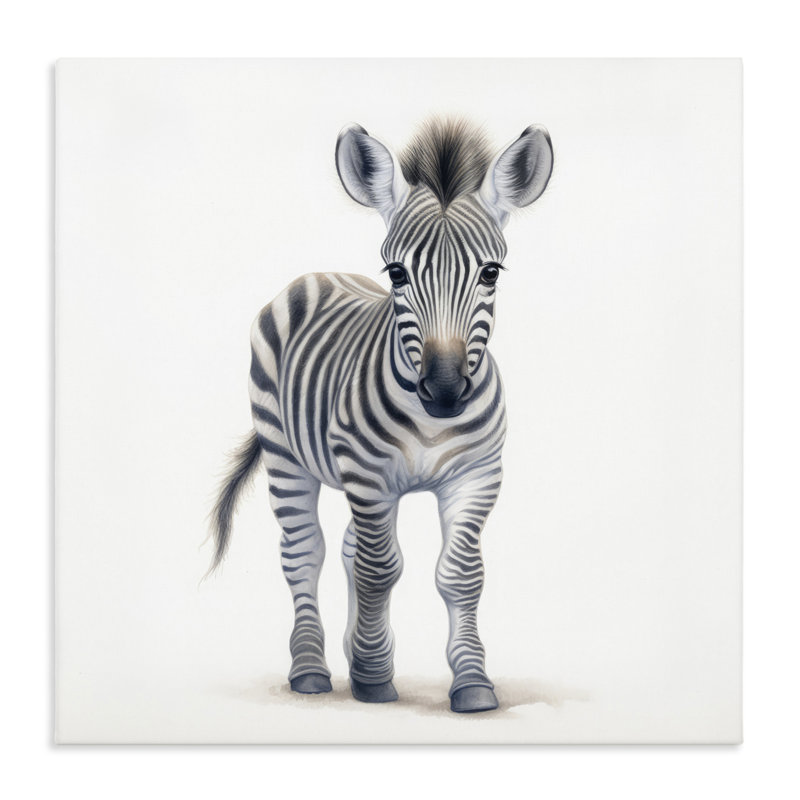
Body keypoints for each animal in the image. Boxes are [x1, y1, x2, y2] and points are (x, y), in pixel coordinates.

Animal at [209, 118, 553, 713]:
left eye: (491, 273)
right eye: (396, 273)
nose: (444, 391)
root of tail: (319, 274)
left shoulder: (478, 475)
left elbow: (460, 574)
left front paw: (471, 682)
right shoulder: (368, 474)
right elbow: (380, 569)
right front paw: (373, 679)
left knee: (349, 548)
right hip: (284, 454)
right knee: (305, 553)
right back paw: (311, 669)